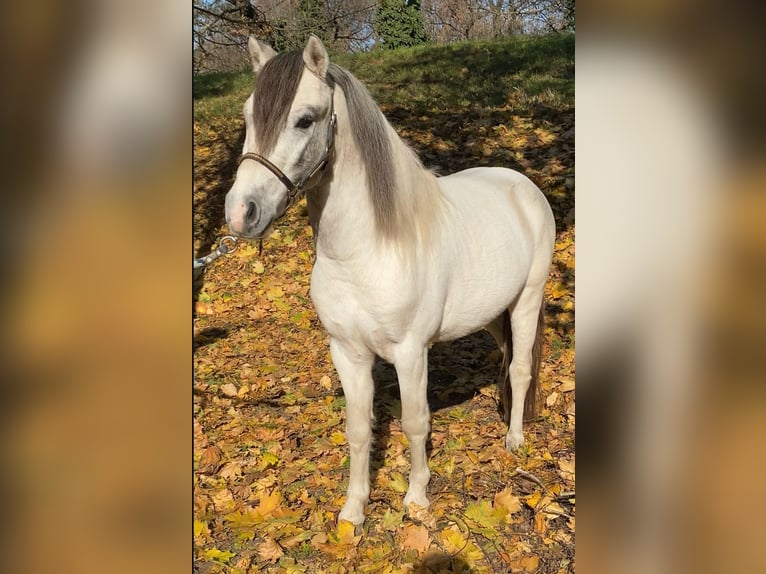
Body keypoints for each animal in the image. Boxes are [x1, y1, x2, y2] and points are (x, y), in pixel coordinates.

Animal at [225, 35, 556, 528]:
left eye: (305, 119)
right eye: (248, 116)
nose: (240, 212)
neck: (365, 253)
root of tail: (523, 185)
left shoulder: (410, 353)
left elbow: (416, 422)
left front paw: (416, 499)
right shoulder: (348, 353)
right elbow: (359, 428)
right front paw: (354, 510)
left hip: (527, 302)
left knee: (519, 368)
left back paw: (514, 440)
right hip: (492, 313)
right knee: (506, 357)